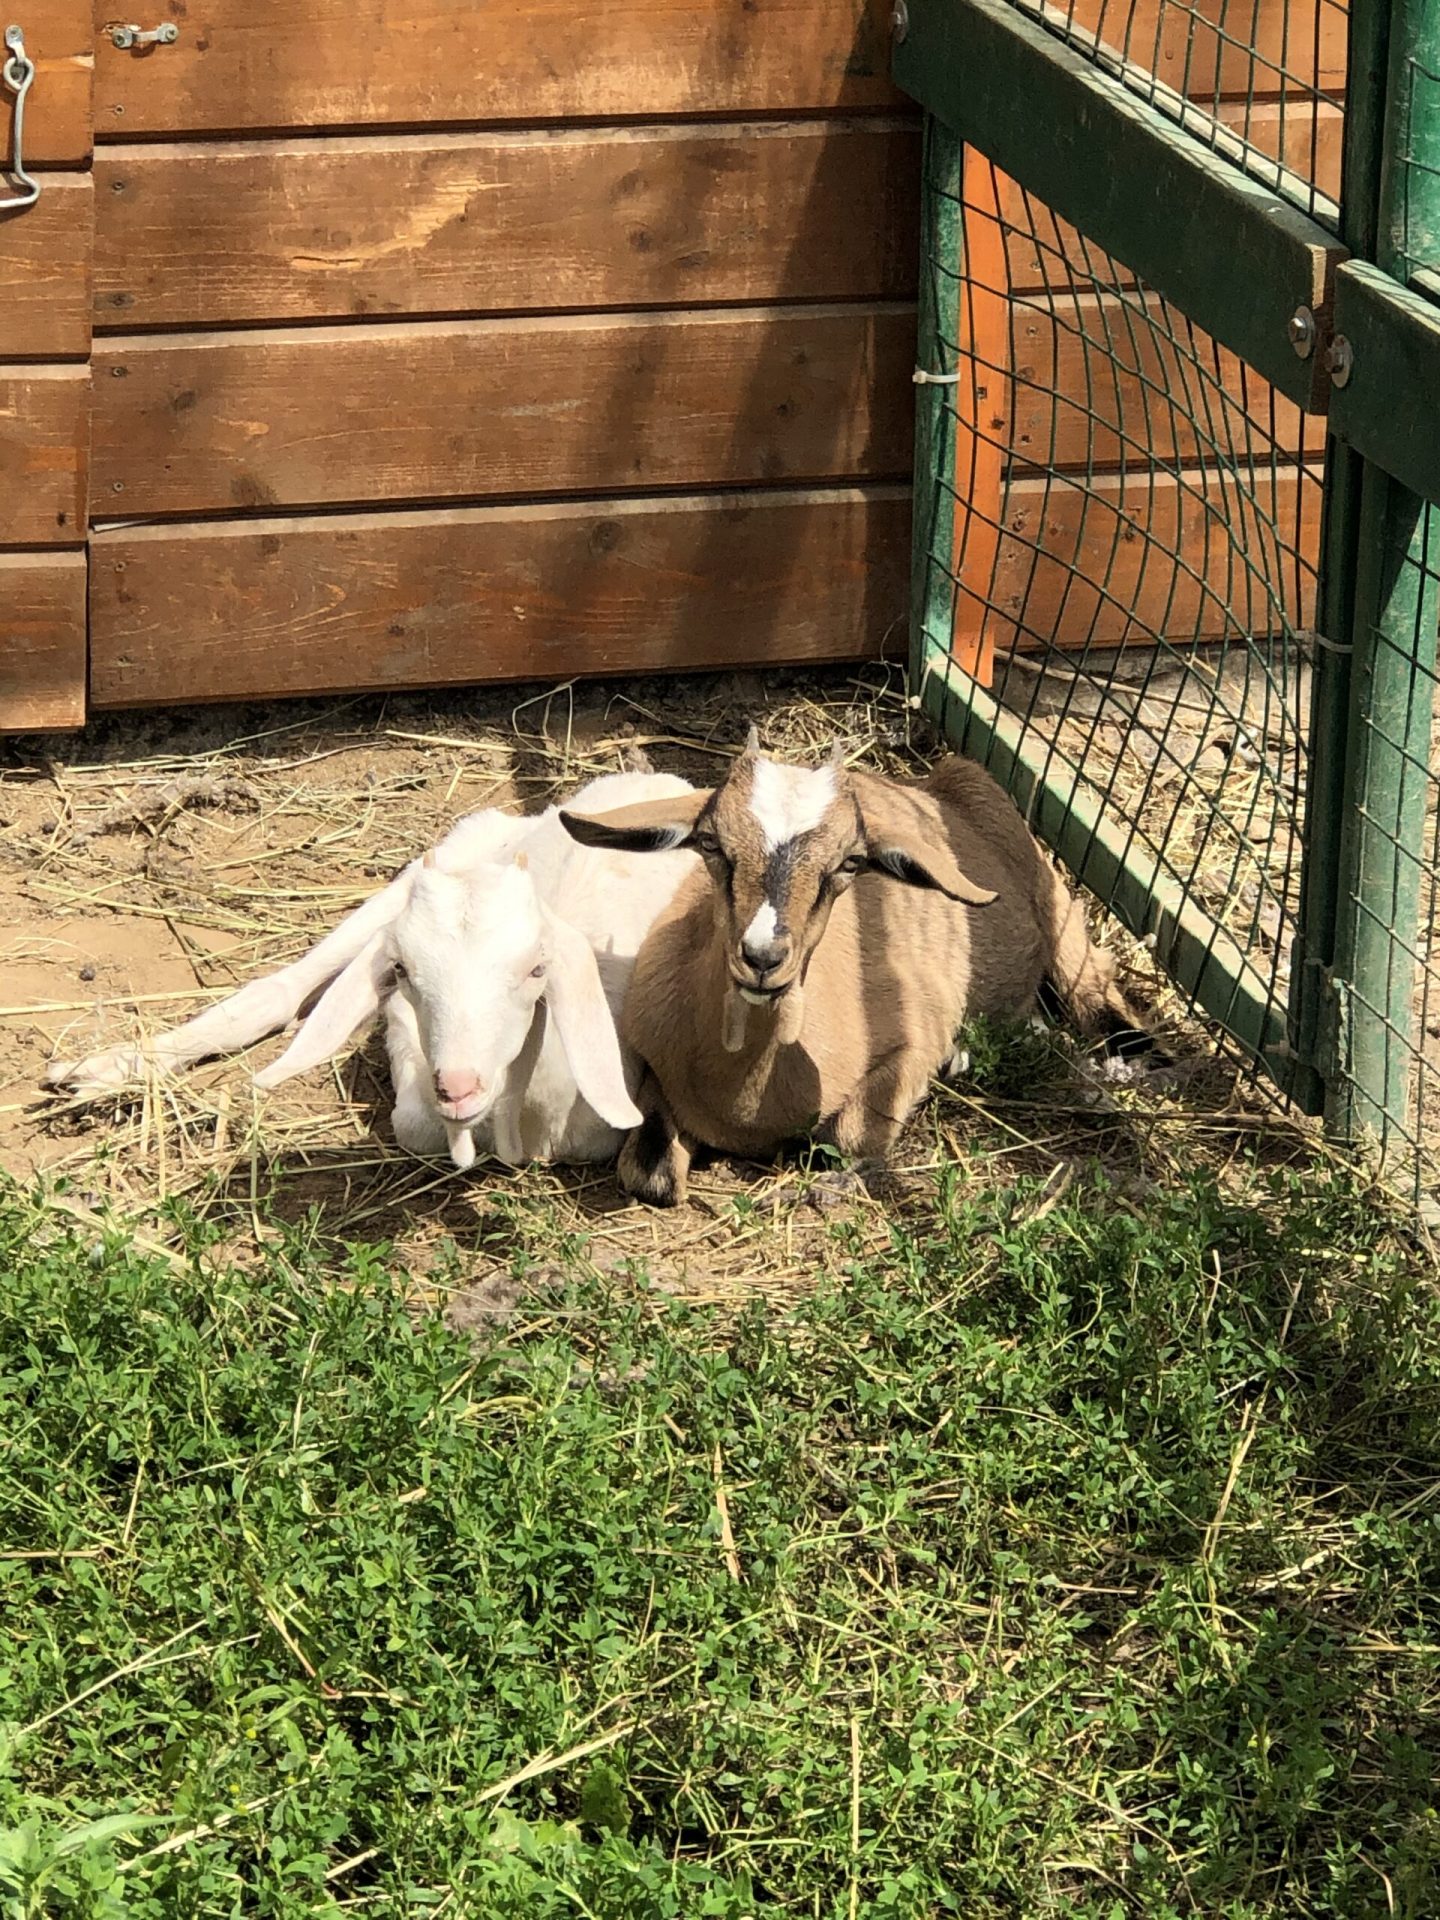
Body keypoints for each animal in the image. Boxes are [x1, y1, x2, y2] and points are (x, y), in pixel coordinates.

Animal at [45, 768, 698, 1159]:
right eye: (404, 972)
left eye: (538, 970)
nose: (458, 1085)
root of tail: (651, 778)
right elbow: (411, 1121)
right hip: (440, 858)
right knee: (281, 989)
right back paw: (95, 1073)